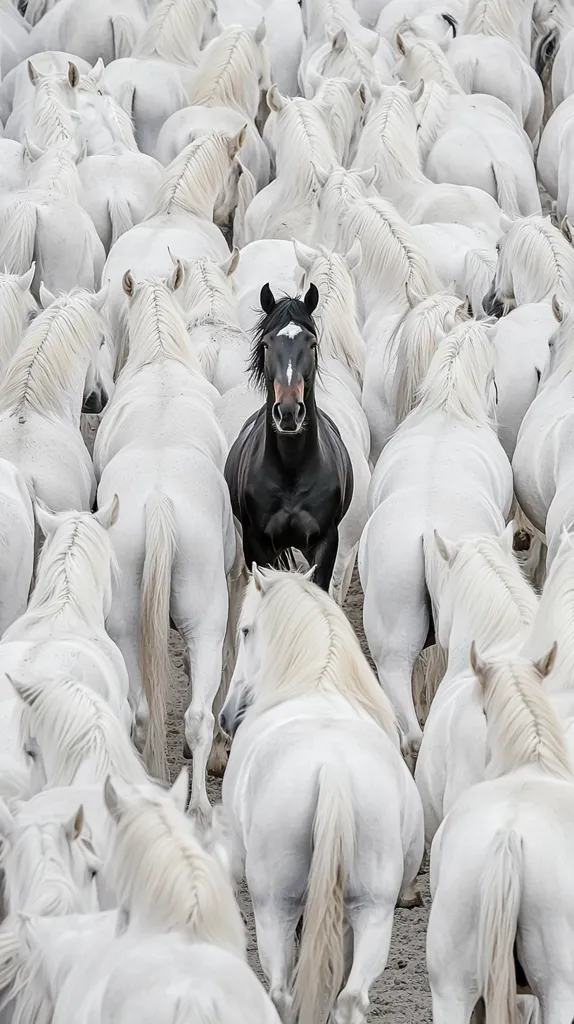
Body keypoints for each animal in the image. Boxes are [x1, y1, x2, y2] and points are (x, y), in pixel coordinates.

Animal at [220, 567, 423, 1024]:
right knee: (350, 997)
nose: (226, 716)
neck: (318, 683)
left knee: (281, 990)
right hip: (373, 908)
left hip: (274, 905)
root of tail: (333, 770)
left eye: (245, 630)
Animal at [224, 285, 353, 592]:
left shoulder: (326, 542)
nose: (288, 412)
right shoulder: (257, 544)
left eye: (312, 343)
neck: (292, 468)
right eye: (266, 344)